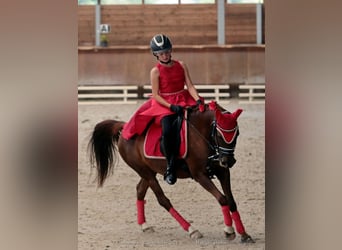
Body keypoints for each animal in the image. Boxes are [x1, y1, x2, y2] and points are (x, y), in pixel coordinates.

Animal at [87, 100, 254, 243]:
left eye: (237, 134)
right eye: (219, 134)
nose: (228, 161)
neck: (202, 135)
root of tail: (125, 128)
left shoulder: (223, 172)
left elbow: (231, 201)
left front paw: (244, 234)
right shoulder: (200, 175)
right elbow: (222, 199)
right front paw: (229, 231)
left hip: (149, 171)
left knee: (140, 190)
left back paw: (145, 225)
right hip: (145, 172)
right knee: (162, 199)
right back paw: (191, 229)